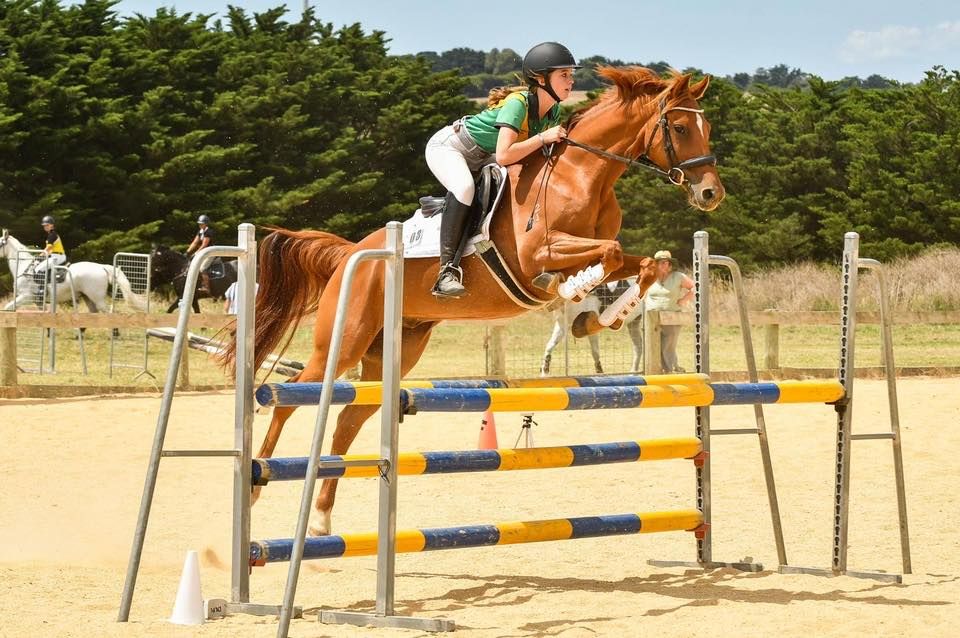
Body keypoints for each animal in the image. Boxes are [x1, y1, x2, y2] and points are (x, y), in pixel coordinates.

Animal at [1, 230, 148, 313]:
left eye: (0, 243)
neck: (23, 267)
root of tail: (101, 267)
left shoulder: (26, 296)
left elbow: (8, 308)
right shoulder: (37, 302)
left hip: (97, 298)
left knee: (107, 313)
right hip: (88, 298)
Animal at [224, 67, 724, 536]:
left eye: (707, 126)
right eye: (680, 128)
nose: (711, 194)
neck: (584, 174)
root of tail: (352, 253)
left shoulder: (601, 250)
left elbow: (641, 264)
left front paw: (598, 319)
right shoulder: (537, 253)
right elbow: (605, 256)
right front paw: (573, 290)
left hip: (394, 351)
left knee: (349, 418)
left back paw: (322, 519)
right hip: (343, 341)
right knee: (288, 397)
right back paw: (255, 487)